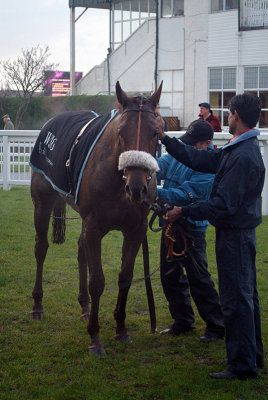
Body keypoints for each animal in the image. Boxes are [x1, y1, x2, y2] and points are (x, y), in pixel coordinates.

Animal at [30, 80, 162, 354]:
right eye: (121, 132)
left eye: (156, 133)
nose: (137, 188)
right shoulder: (94, 227)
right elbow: (98, 281)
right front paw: (95, 337)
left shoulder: (135, 230)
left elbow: (125, 277)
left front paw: (121, 329)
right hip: (42, 205)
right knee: (41, 249)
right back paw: (37, 306)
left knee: (80, 250)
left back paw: (84, 306)